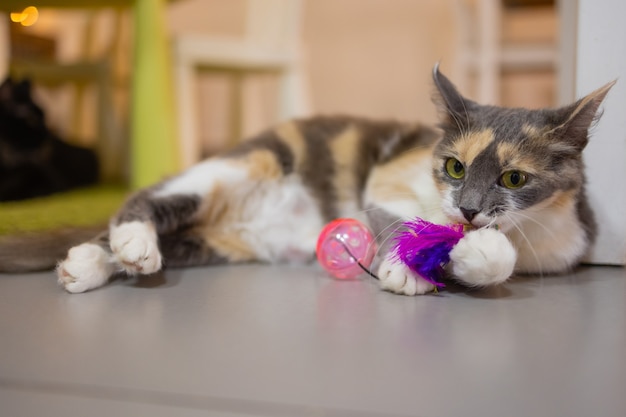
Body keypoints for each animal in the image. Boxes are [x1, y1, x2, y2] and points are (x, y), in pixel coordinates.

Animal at [0, 66, 616, 294]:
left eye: (513, 177)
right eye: (454, 167)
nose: (466, 208)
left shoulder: (558, 246)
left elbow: (496, 260)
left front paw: (473, 254)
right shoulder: (386, 179)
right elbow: (394, 218)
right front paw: (406, 265)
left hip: (217, 244)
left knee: (168, 240)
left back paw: (101, 262)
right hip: (240, 165)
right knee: (145, 200)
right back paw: (119, 246)